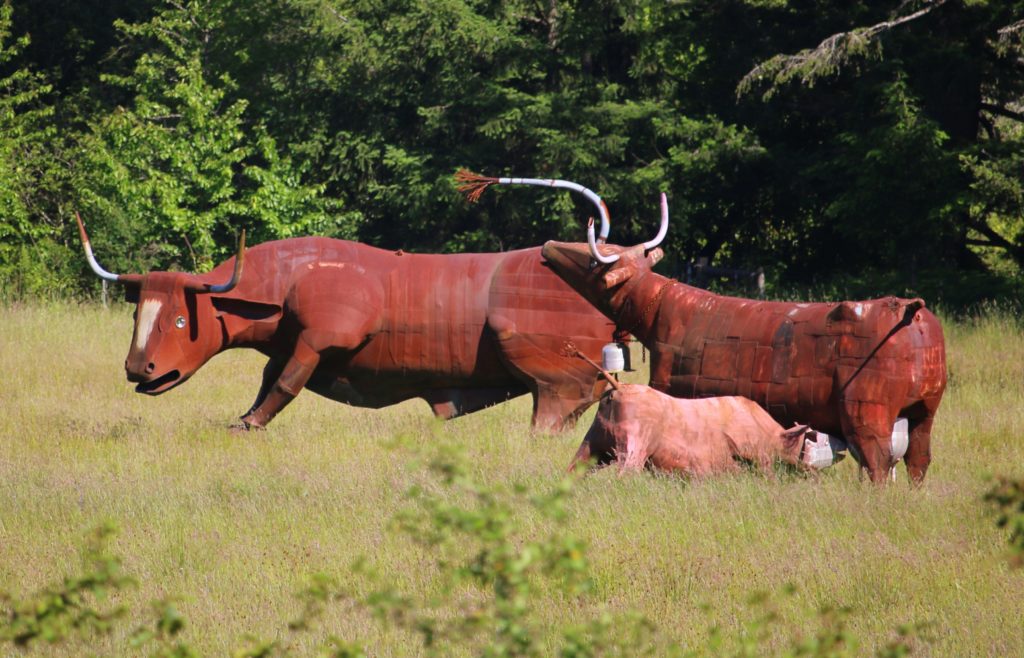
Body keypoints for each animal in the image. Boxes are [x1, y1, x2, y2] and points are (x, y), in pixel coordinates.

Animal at [75, 214, 619, 431]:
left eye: (180, 319)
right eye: (137, 312)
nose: (138, 368)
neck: (287, 278)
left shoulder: (321, 337)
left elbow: (286, 383)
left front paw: (250, 424)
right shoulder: (290, 345)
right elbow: (271, 378)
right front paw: (244, 418)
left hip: (549, 380)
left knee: (557, 407)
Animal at [463, 173, 947, 484]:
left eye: (595, 261)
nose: (547, 246)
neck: (662, 315)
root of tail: (913, 311)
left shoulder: (674, 388)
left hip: (868, 411)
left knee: (879, 464)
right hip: (925, 408)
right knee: (919, 461)